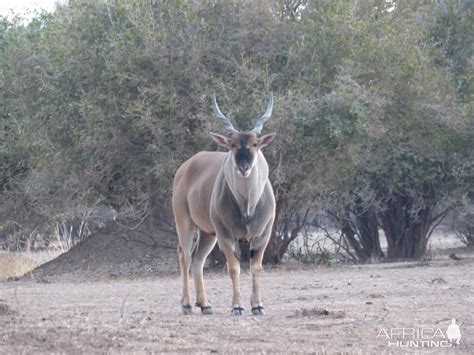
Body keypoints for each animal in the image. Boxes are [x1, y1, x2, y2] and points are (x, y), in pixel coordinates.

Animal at [172, 93, 276, 316]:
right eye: (232, 144)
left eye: (255, 144)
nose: (244, 167)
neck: (247, 206)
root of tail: (184, 167)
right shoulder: (225, 235)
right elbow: (234, 268)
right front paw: (237, 306)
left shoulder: (263, 235)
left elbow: (256, 268)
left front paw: (258, 306)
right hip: (185, 222)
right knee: (185, 256)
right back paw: (186, 304)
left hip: (207, 233)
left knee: (198, 260)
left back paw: (205, 305)